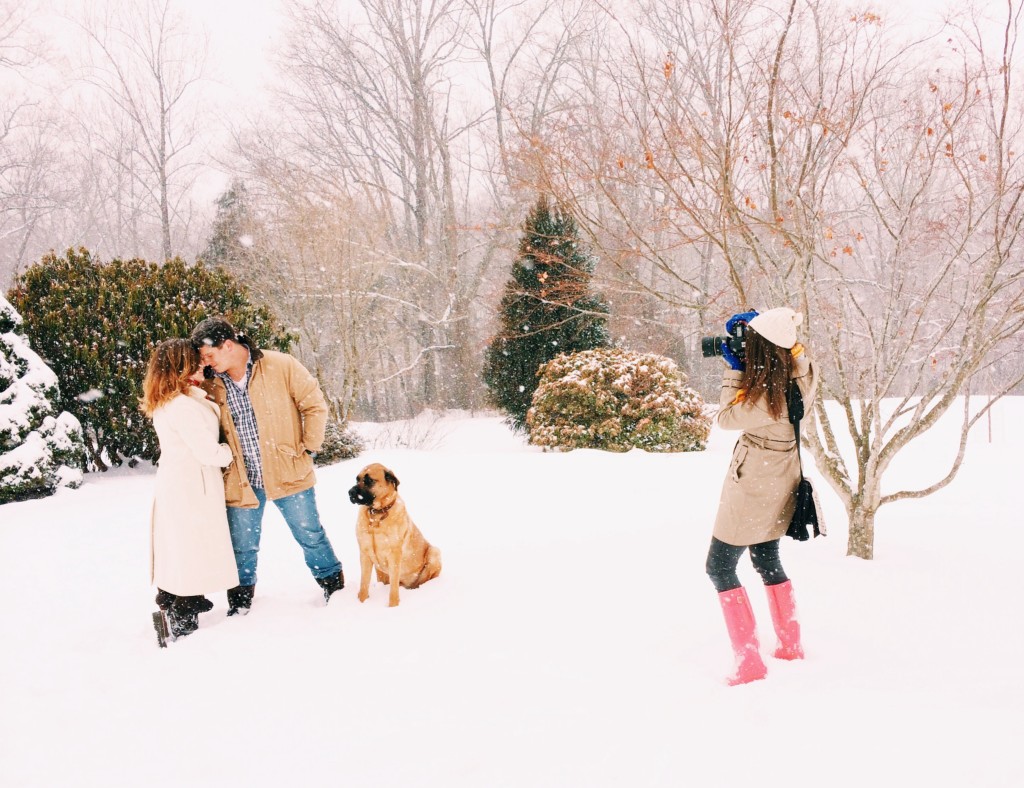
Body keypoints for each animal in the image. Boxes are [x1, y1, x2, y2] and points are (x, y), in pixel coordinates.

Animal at [348, 462, 440, 605]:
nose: (350, 493)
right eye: (357, 479)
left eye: (369, 480)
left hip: (435, 552)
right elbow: (364, 584)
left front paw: (393, 606)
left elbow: (393, 590)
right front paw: (361, 602)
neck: (376, 516)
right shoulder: (364, 553)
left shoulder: (394, 555)